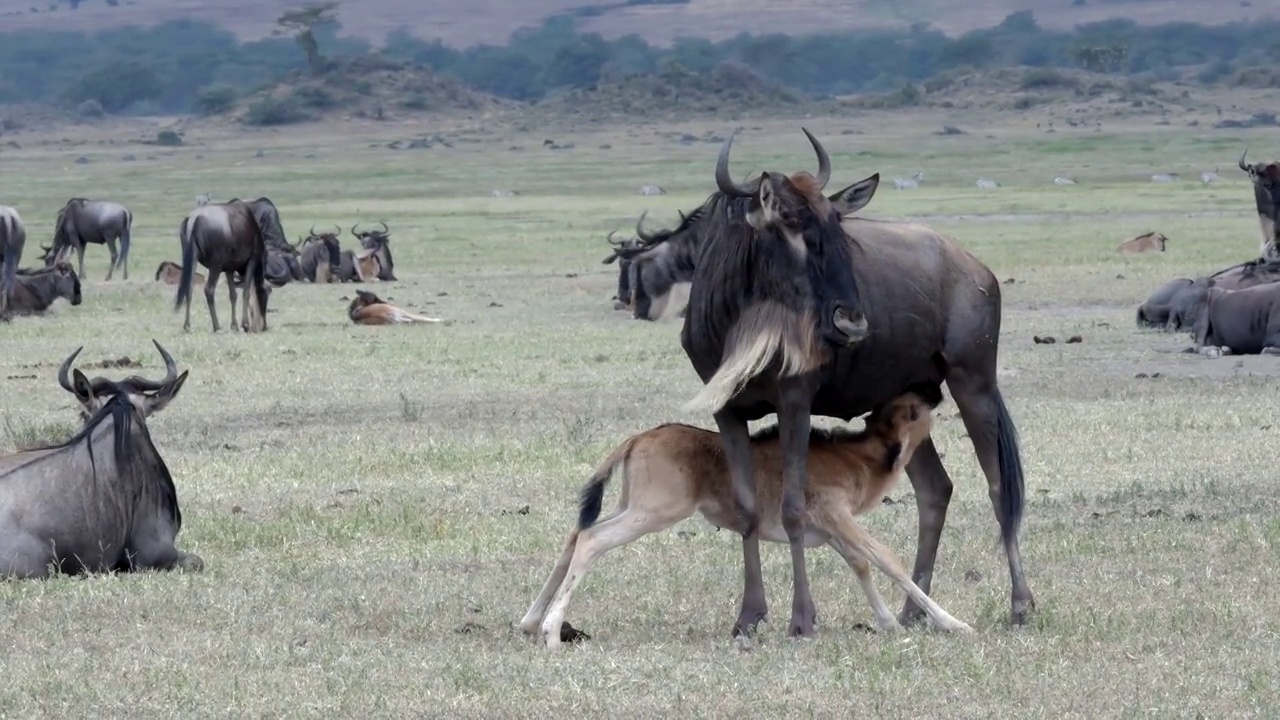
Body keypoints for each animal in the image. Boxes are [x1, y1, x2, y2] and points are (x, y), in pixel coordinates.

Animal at [517, 381, 967, 645]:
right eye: (912, 413)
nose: (933, 394)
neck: (860, 454)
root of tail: (639, 438)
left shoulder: (830, 530)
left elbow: (862, 565)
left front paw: (889, 622)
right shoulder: (838, 517)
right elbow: (889, 562)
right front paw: (952, 623)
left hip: (630, 506)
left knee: (575, 535)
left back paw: (530, 621)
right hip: (652, 512)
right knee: (591, 540)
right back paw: (551, 631)